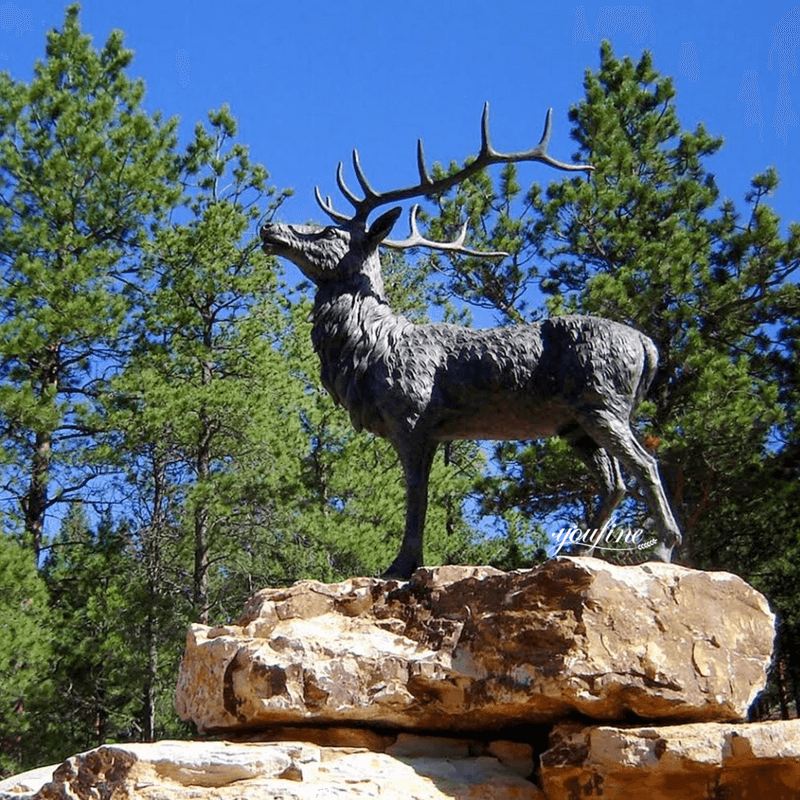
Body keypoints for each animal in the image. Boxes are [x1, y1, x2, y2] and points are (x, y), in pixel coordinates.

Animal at [260, 104, 680, 576]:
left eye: (329, 232)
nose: (269, 227)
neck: (369, 351)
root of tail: (648, 346)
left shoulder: (414, 419)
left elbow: (417, 497)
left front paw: (400, 566)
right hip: (575, 423)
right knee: (614, 482)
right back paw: (576, 554)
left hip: (603, 402)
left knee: (645, 464)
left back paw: (662, 550)